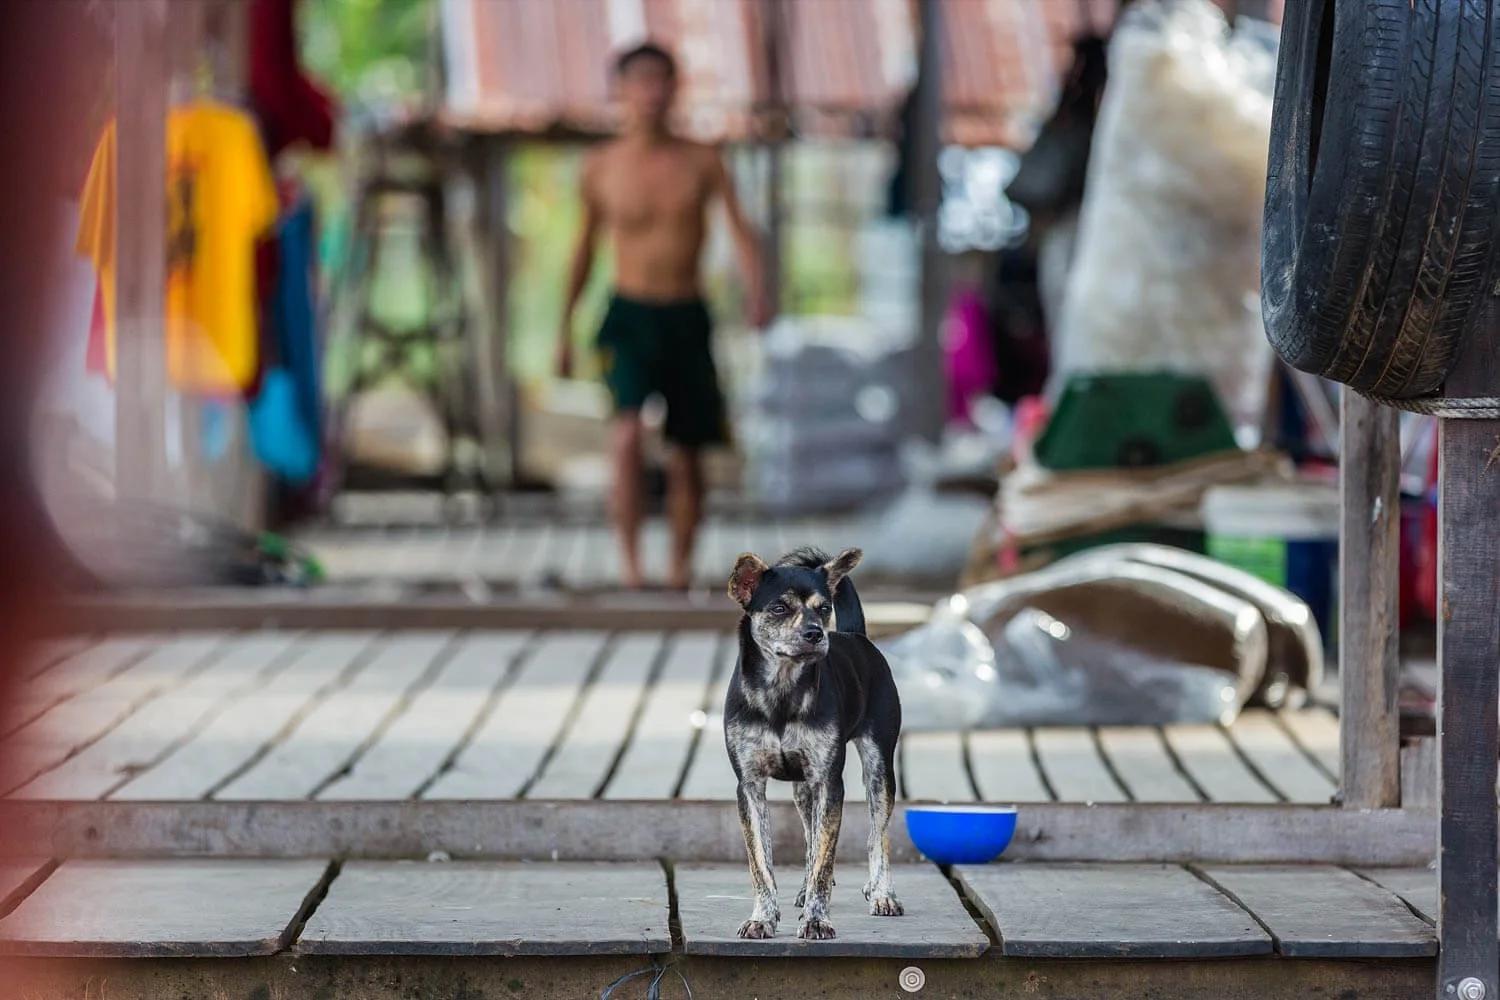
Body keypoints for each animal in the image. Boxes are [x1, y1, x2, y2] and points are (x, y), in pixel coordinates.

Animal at [723, 545, 903, 940]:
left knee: (878, 835)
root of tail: (856, 635)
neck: (782, 692)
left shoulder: (829, 784)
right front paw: (762, 917)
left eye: (824, 609)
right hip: (802, 790)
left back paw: (882, 893)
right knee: (809, 836)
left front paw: (817, 920)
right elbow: (762, 862)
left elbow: (825, 858)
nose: (815, 633)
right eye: (779, 608)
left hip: (879, 770)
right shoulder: (750, 787)